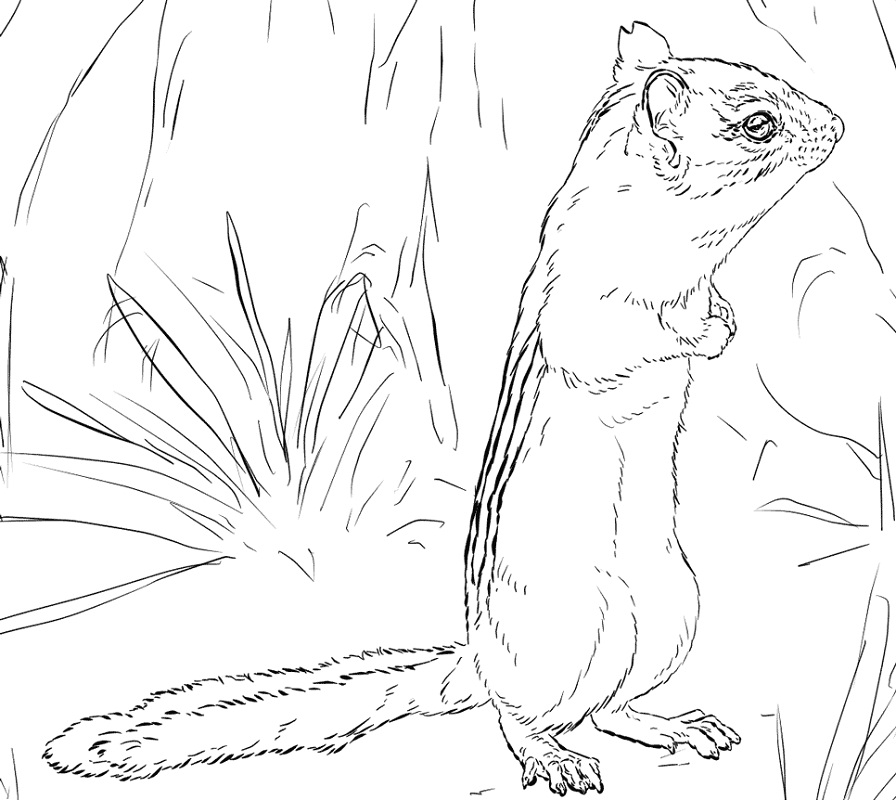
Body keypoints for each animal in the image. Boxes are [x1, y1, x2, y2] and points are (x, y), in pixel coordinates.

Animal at [43, 21, 842, 796]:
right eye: (759, 123)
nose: (838, 124)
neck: (677, 256)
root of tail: (477, 660)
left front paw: (723, 321)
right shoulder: (589, 312)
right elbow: (625, 339)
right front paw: (700, 333)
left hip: (672, 618)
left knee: (608, 706)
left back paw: (676, 726)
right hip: (566, 637)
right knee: (524, 717)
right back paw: (555, 758)